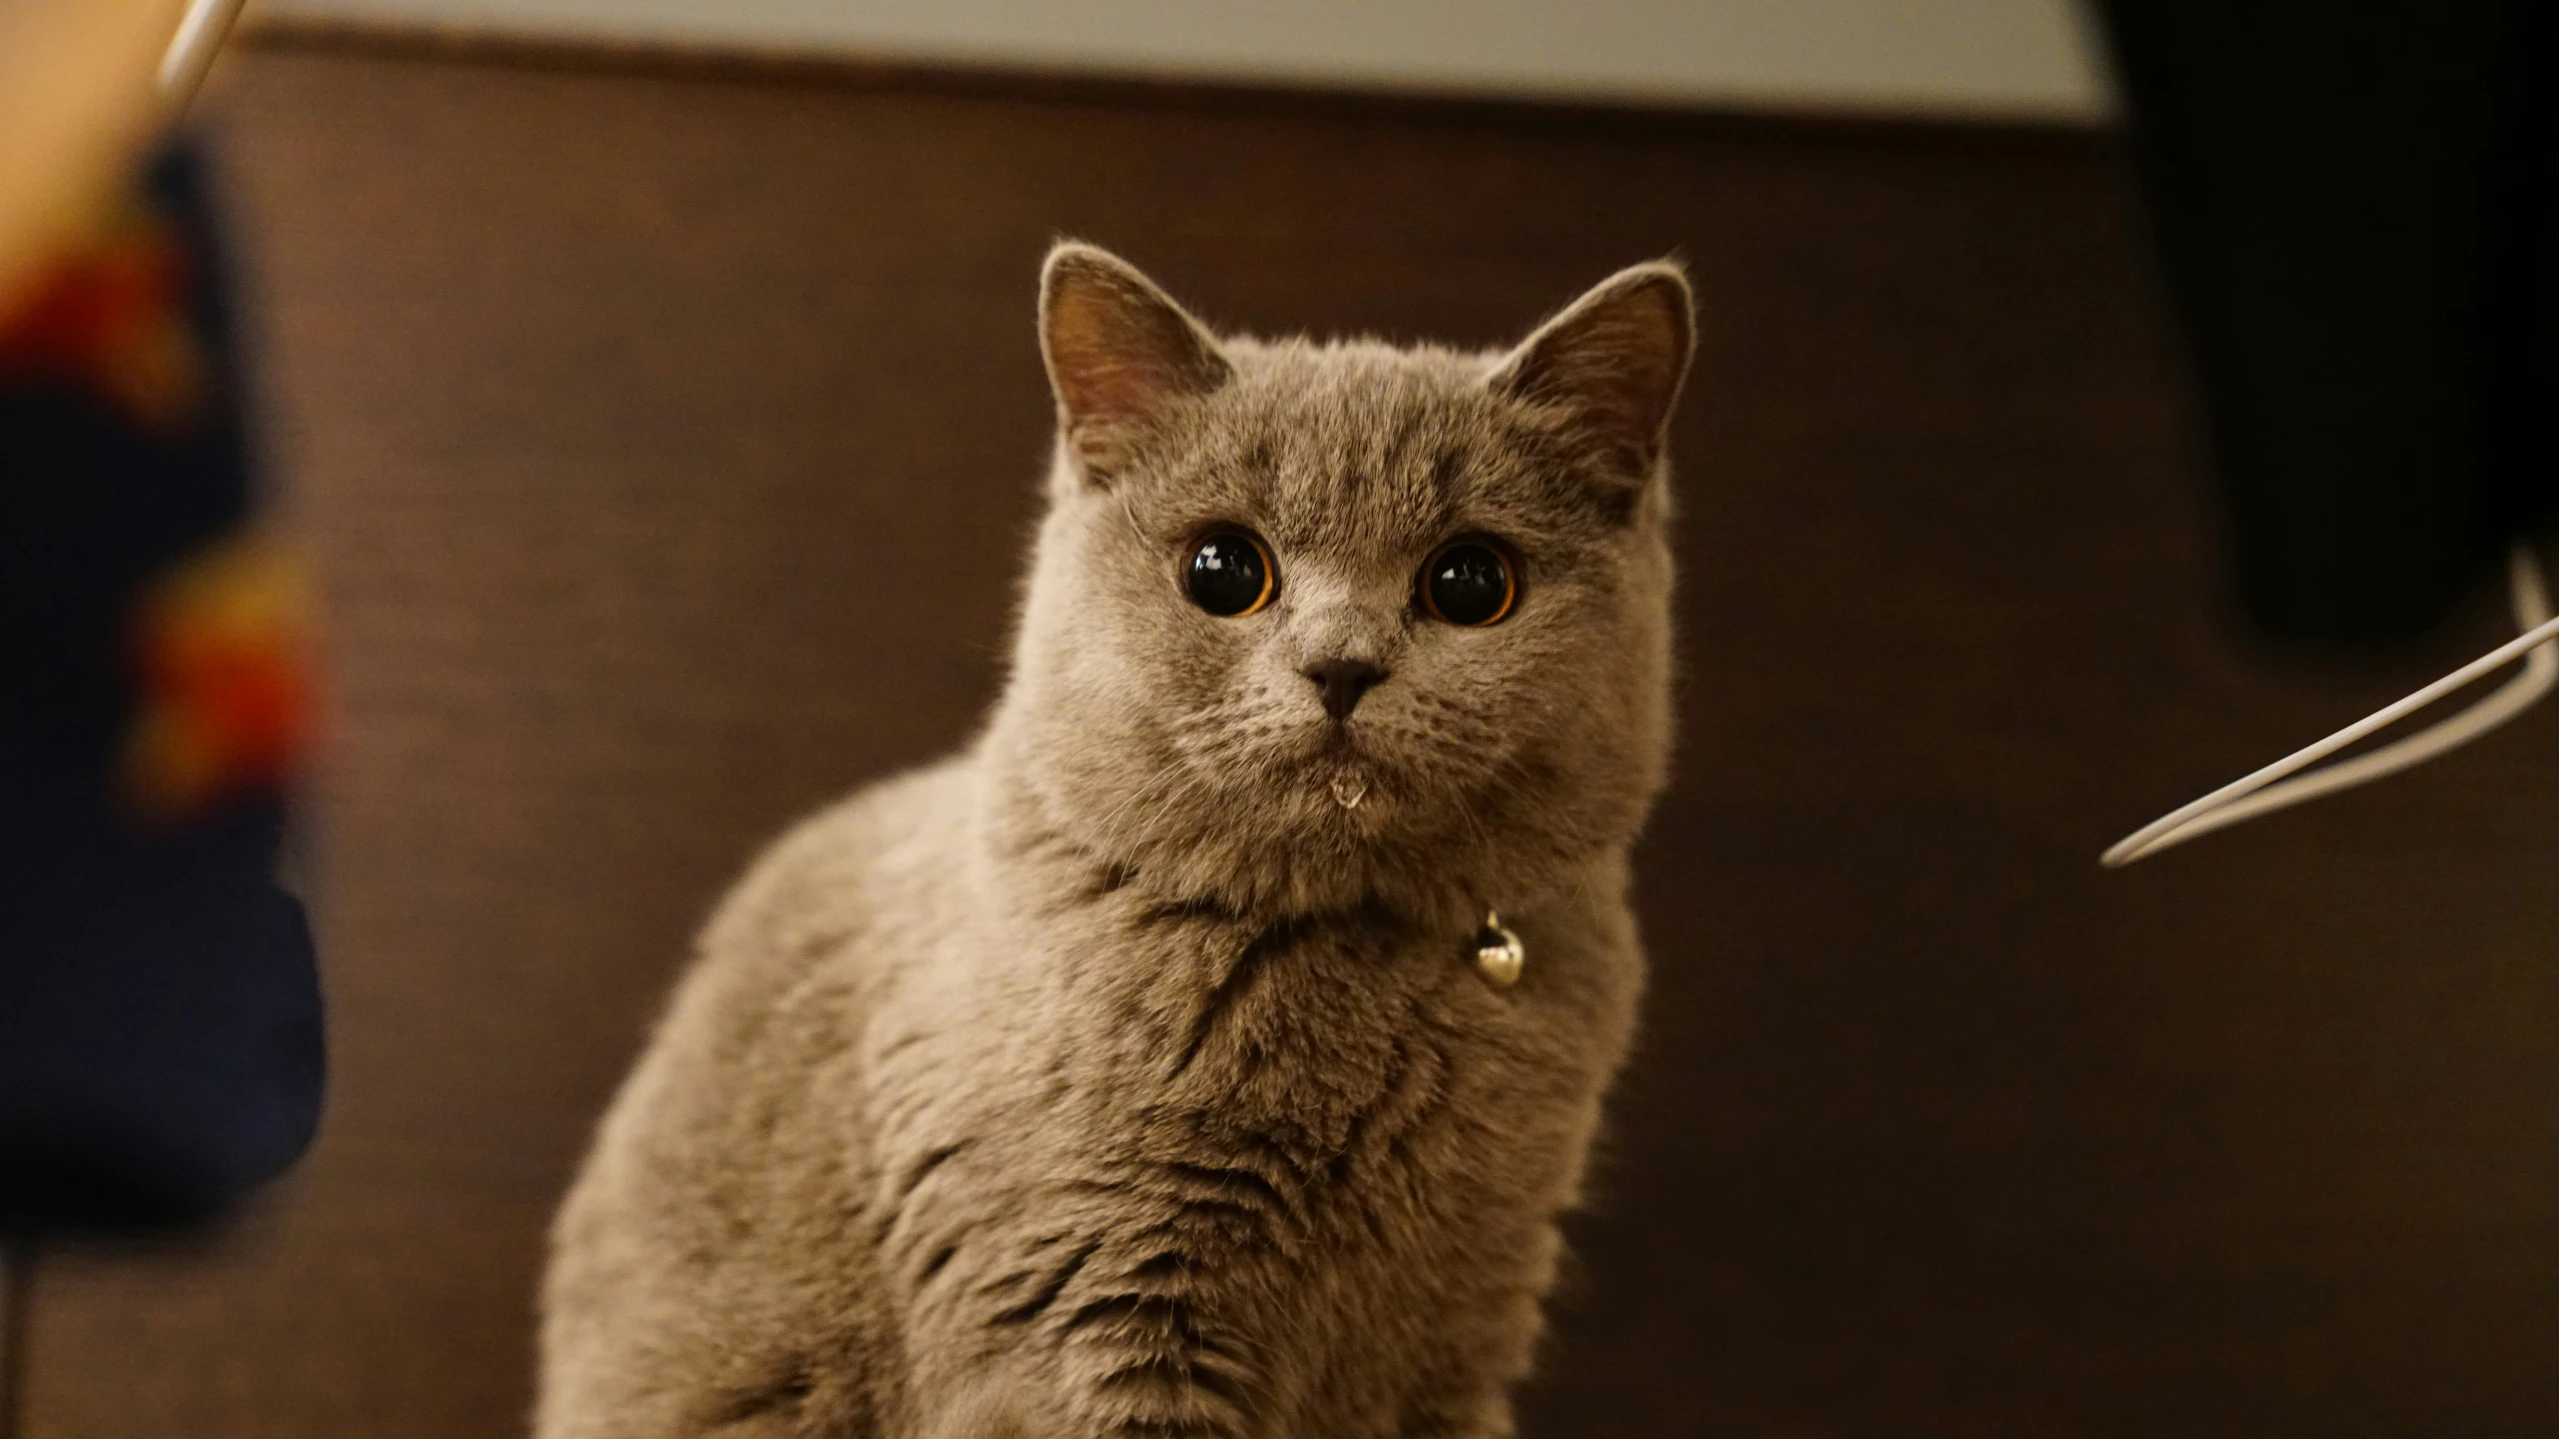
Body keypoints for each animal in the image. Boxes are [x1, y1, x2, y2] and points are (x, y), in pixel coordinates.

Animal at [537, 240, 1688, 1423]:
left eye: (1470, 581)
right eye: (1224, 571)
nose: (1342, 665)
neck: (1355, 955)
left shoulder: (1458, 1335)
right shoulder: (1097, 1312)